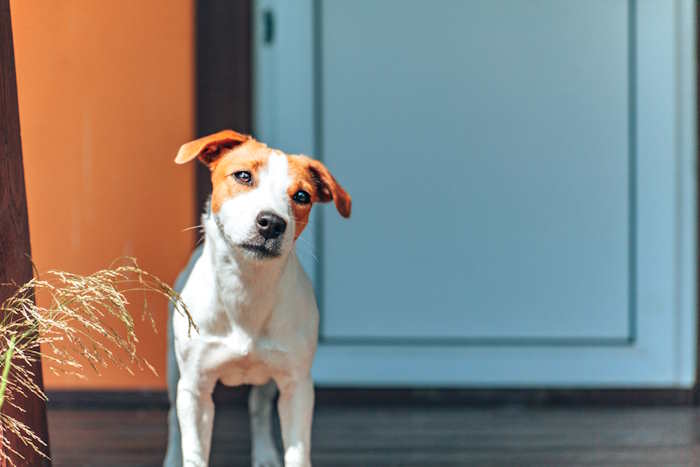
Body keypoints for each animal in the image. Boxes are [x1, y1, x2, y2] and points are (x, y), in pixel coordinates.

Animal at [172, 131, 352, 467]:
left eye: (302, 196)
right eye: (243, 176)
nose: (272, 222)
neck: (247, 287)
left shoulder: (297, 386)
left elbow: (297, 452)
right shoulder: (195, 387)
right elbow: (194, 451)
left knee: (258, 407)